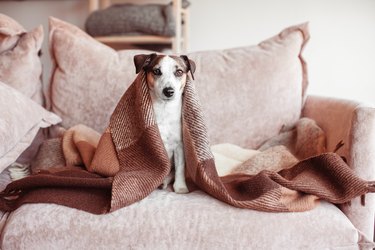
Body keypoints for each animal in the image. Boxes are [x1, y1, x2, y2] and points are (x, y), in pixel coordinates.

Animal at [133, 52, 197, 193]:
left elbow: (180, 168)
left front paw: (180, 187)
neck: (164, 109)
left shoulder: (179, 146)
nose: (169, 91)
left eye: (179, 72)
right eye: (157, 71)